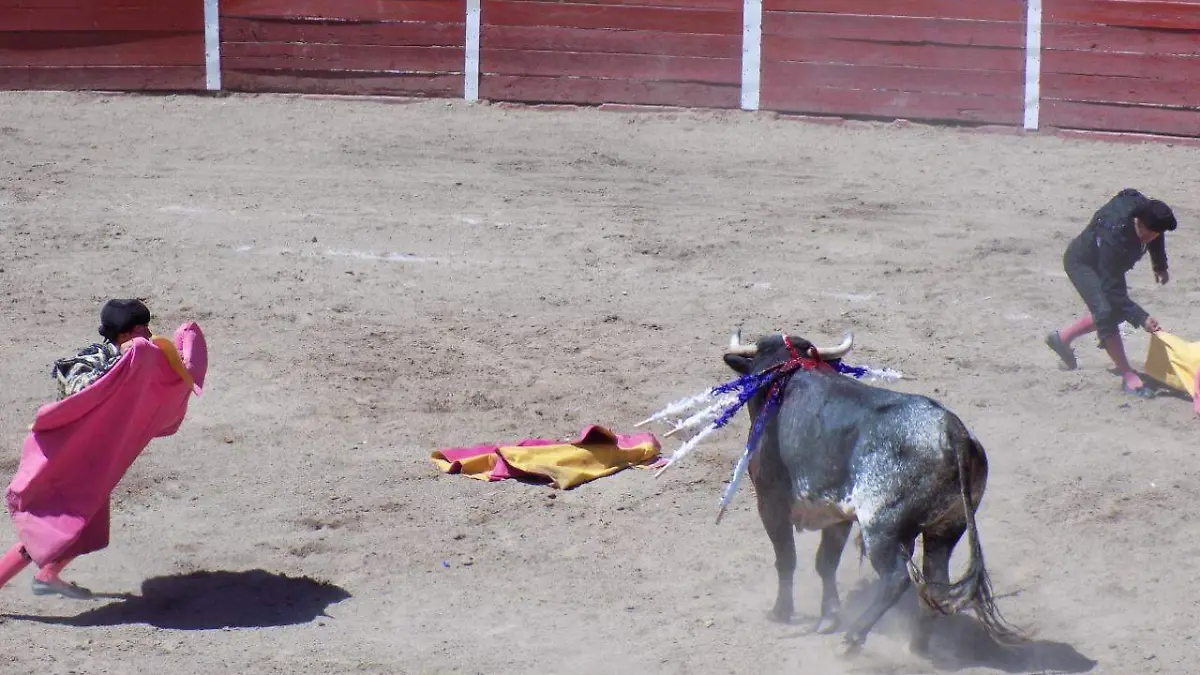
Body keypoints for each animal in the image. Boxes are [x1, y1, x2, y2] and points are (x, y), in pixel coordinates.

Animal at [720, 329, 1022, 653]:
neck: (789, 375)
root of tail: (953, 433)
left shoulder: (770, 502)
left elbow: (787, 558)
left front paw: (782, 612)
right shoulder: (836, 513)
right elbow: (825, 563)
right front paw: (829, 617)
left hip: (880, 528)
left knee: (897, 579)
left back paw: (854, 637)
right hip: (948, 527)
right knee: (935, 585)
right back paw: (917, 646)